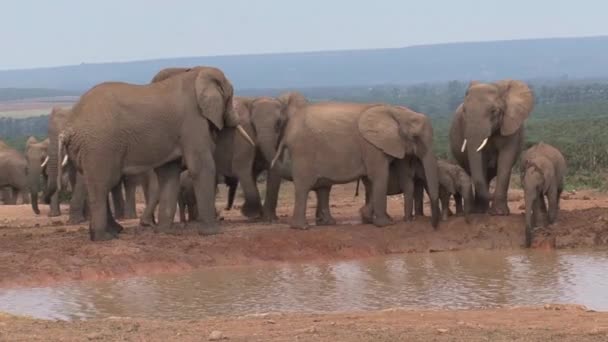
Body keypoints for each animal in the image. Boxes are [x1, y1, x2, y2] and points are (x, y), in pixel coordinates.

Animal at [48, 65, 254, 240]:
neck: (196, 74)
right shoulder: (193, 122)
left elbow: (169, 174)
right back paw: (102, 238)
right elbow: (201, 167)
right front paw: (212, 233)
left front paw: (165, 232)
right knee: (102, 184)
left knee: (99, 182)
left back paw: (114, 232)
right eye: (230, 96)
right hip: (99, 144)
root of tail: (70, 127)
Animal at [274, 101, 440, 230]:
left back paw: (329, 223)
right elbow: (379, 176)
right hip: (303, 152)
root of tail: (287, 132)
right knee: (304, 187)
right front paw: (385, 224)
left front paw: (367, 217)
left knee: (323, 187)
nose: (434, 226)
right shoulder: (372, 146)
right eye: (415, 137)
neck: (395, 111)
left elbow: (371, 181)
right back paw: (302, 227)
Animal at [448, 79, 536, 215]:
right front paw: (485, 212)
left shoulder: (510, 126)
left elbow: (506, 160)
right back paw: (480, 210)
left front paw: (500, 213)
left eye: (494, 111)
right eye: (464, 111)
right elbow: (481, 160)